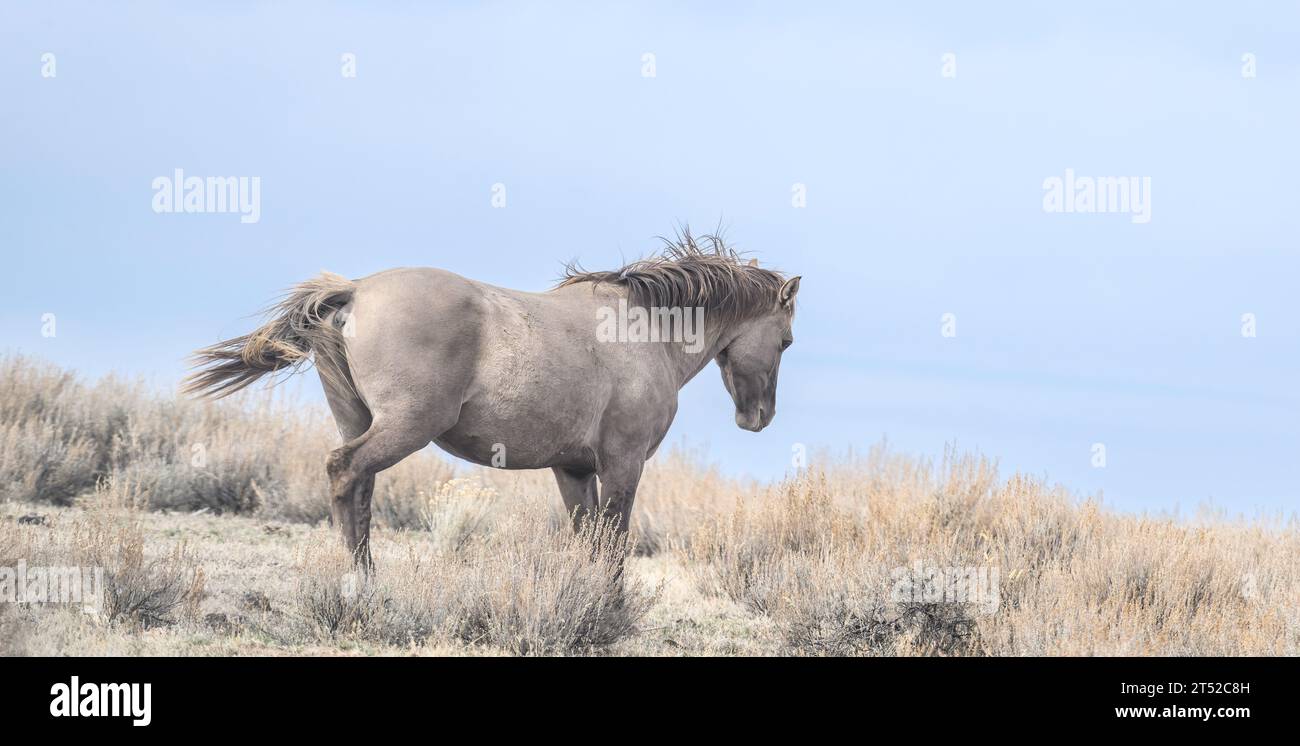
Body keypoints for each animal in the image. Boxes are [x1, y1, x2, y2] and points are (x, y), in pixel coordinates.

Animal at [179, 233, 795, 566]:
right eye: (786, 340)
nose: (759, 418)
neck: (643, 330)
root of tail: (355, 291)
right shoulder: (622, 465)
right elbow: (614, 546)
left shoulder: (574, 469)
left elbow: (587, 540)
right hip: (404, 427)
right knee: (344, 472)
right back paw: (358, 581)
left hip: (363, 423)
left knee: (358, 492)